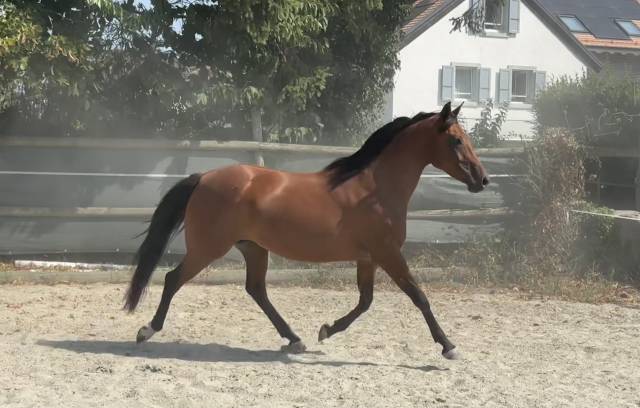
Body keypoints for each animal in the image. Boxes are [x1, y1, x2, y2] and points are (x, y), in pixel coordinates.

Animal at [125, 101, 489, 360]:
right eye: (456, 140)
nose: (482, 180)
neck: (375, 188)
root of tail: (204, 178)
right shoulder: (388, 253)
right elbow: (418, 296)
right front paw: (448, 346)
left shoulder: (368, 258)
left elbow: (365, 302)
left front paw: (326, 330)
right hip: (208, 248)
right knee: (173, 278)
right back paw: (147, 330)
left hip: (253, 247)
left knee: (256, 290)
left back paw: (295, 339)